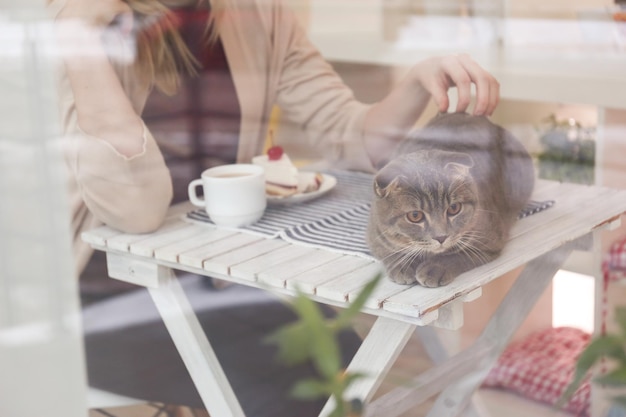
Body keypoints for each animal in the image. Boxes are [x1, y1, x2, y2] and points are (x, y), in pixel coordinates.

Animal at [366, 111, 532, 286]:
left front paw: (435, 267)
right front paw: (402, 264)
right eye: (415, 215)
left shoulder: (489, 241)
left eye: (454, 208)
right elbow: (389, 251)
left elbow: (458, 255)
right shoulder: (375, 236)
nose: (441, 237)